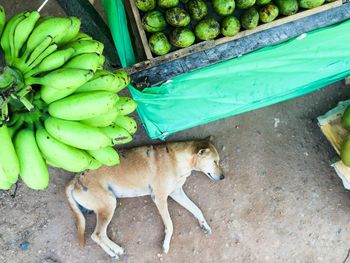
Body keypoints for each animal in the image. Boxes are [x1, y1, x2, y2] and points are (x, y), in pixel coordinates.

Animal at [65, 138, 224, 260]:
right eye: (215, 162)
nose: (223, 177)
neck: (177, 160)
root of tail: (74, 180)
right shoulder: (159, 198)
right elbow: (170, 224)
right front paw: (166, 244)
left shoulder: (177, 192)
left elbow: (196, 209)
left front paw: (204, 225)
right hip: (109, 204)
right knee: (96, 235)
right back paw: (115, 250)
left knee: (98, 235)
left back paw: (113, 252)